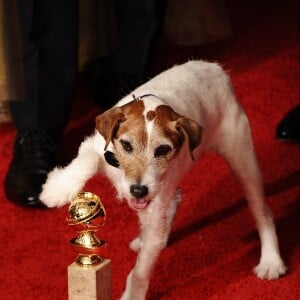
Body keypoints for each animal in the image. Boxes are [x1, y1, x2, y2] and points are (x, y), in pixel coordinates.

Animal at [39, 60, 286, 298]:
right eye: (126, 145)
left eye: (162, 150)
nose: (138, 190)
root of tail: (215, 68)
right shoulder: (97, 146)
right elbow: (87, 161)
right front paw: (56, 189)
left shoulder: (155, 206)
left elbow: (140, 270)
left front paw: (132, 294)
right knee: (174, 202)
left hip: (242, 158)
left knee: (262, 212)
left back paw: (271, 261)